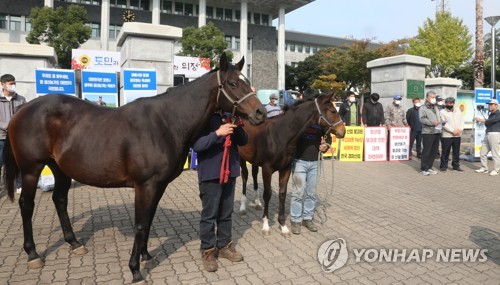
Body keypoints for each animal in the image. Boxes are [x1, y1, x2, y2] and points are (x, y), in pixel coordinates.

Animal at [2, 53, 266, 284]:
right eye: (233, 83)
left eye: (247, 81)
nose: (260, 112)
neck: (166, 123)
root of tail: (23, 110)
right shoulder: (145, 185)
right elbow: (140, 223)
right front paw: (135, 270)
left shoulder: (158, 185)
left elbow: (148, 220)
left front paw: (146, 255)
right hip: (31, 169)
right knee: (27, 205)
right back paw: (33, 254)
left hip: (60, 168)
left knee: (59, 200)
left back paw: (74, 243)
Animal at [237, 92, 344, 235]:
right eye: (332, 111)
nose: (343, 131)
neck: (280, 134)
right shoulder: (267, 169)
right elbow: (267, 194)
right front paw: (266, 225)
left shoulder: (286, 168)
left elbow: (282, 193)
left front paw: (283, 226)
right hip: (241, 158)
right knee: (245, 176)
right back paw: (243, 207)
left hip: (254, 160)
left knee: (254, 174)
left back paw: (258, 203)